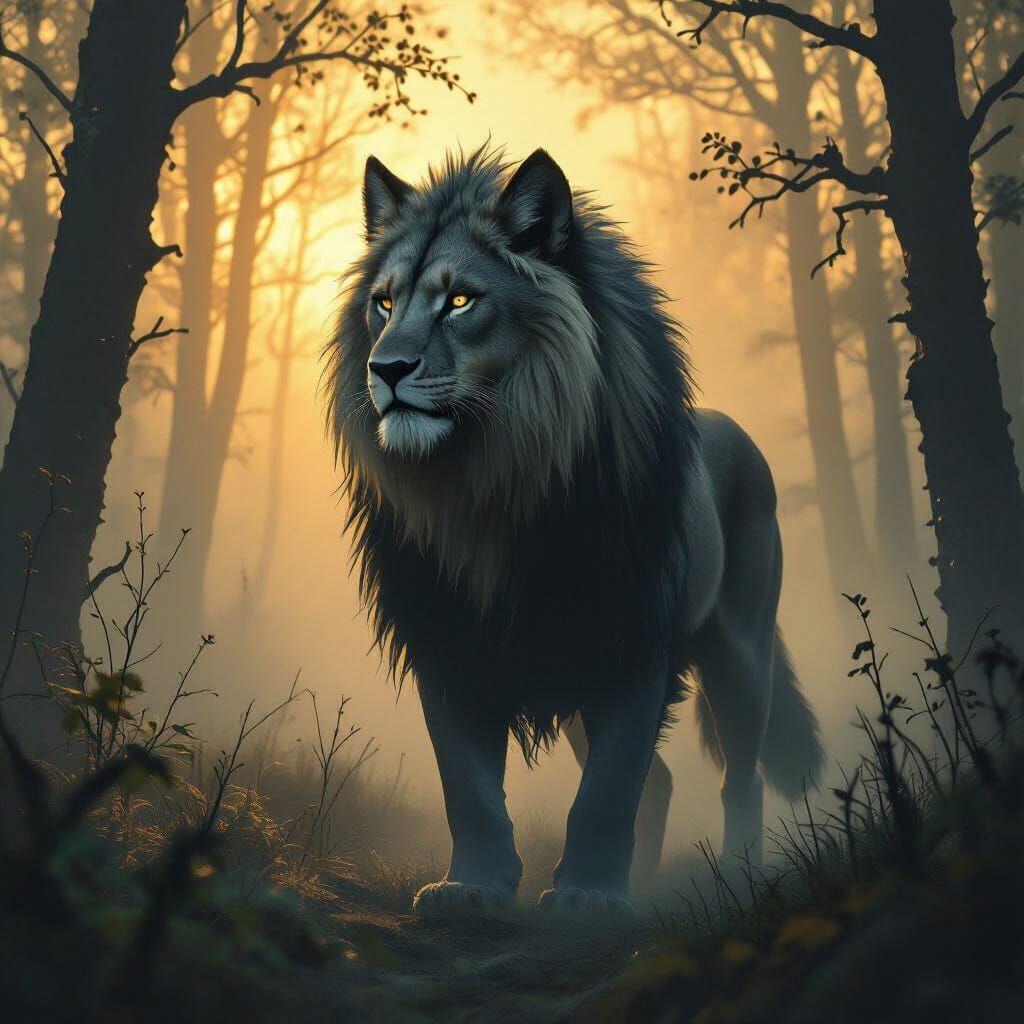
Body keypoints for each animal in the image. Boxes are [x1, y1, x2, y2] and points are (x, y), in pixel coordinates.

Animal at [326, 146, 823, 914]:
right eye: (384, 302)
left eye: (460, 301)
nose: (386, 368)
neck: (489, 483)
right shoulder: (447, 637)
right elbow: (468, 786)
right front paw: (472, 888)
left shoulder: (634, 640)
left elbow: (609, 789)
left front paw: (588, 897)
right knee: (664, 781)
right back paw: (641, 885)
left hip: (741, 655)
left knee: (737, 780)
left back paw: (737, 879)